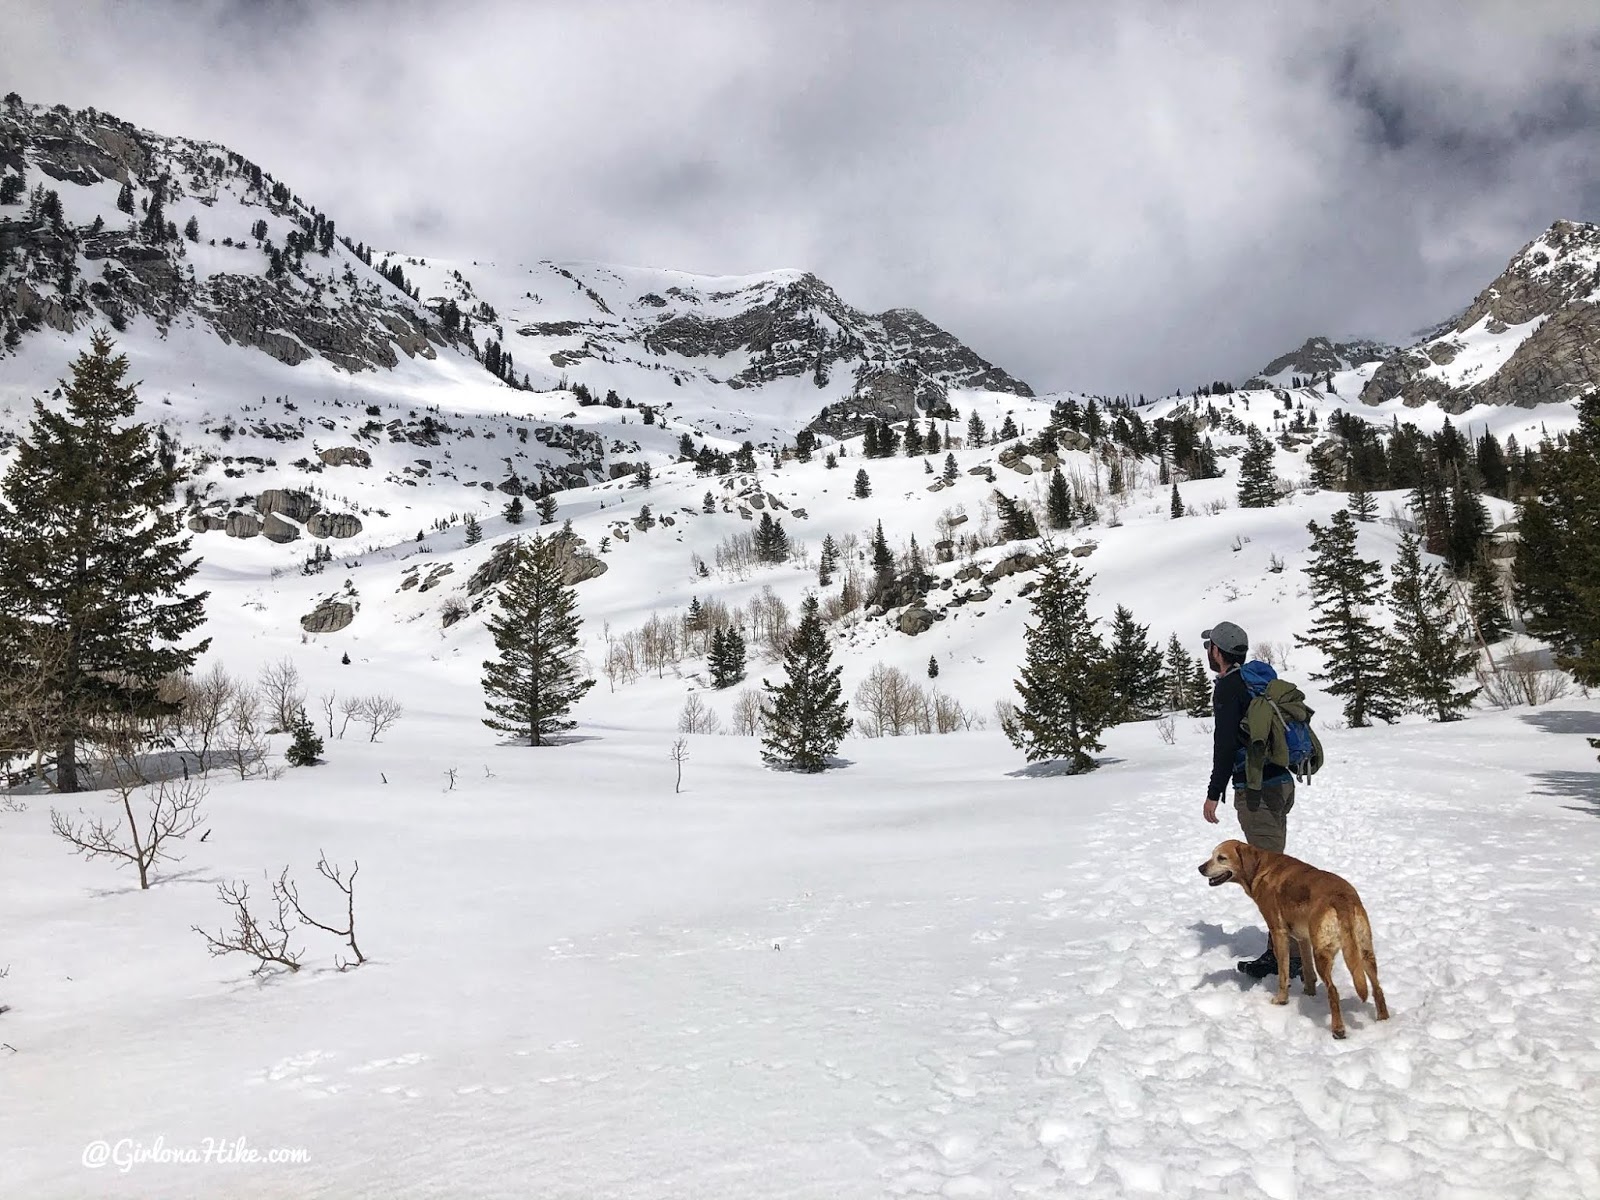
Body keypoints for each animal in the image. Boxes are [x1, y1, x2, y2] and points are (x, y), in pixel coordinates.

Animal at [1203, 838, 1388, 1036]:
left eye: (1221, 858)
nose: (1200, 868)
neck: (1261, 867)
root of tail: (1341, 899)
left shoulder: (1279, 932)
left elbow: (1283, 973)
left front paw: (1281, 1000)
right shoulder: (1303, 939)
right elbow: (1307, 971)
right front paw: (1308, 995)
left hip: (1322, 954)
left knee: (1333, 991)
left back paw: (1338, 1030)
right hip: (1365, 952)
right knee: (1377, 988)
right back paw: (1383, 1019)